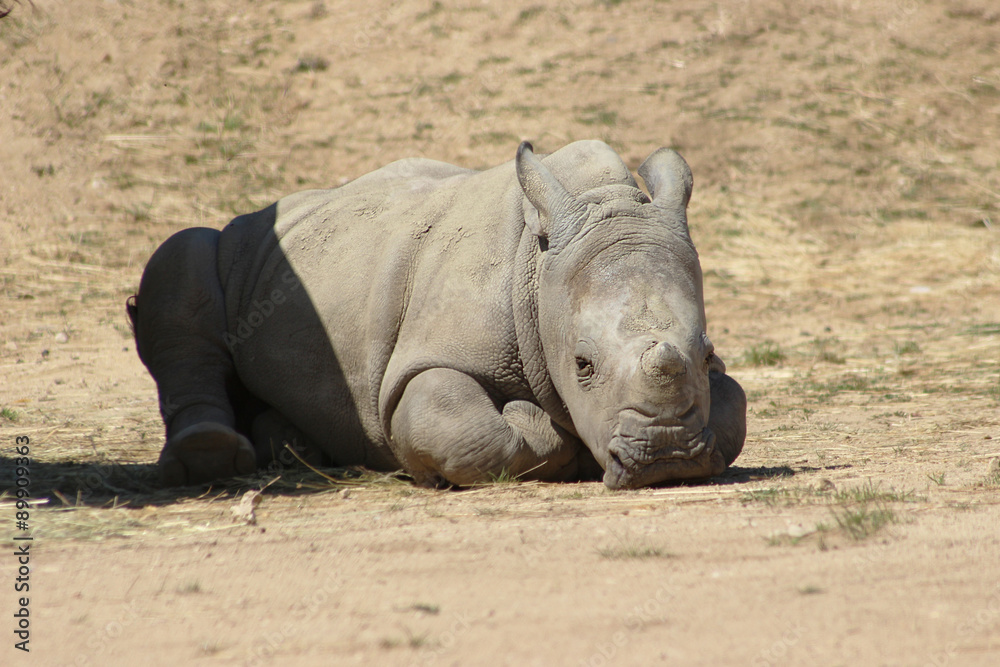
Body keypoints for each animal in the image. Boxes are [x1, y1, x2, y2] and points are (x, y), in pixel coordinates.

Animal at [128, 140, 746, 490]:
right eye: (582, 365)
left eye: (707, 353)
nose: (667, 458)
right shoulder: (422, 363)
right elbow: (465, 428)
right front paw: (536, 425)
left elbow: (733, 407)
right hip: (236, 240)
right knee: (183, 259)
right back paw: (211, 458)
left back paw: (293, 446)